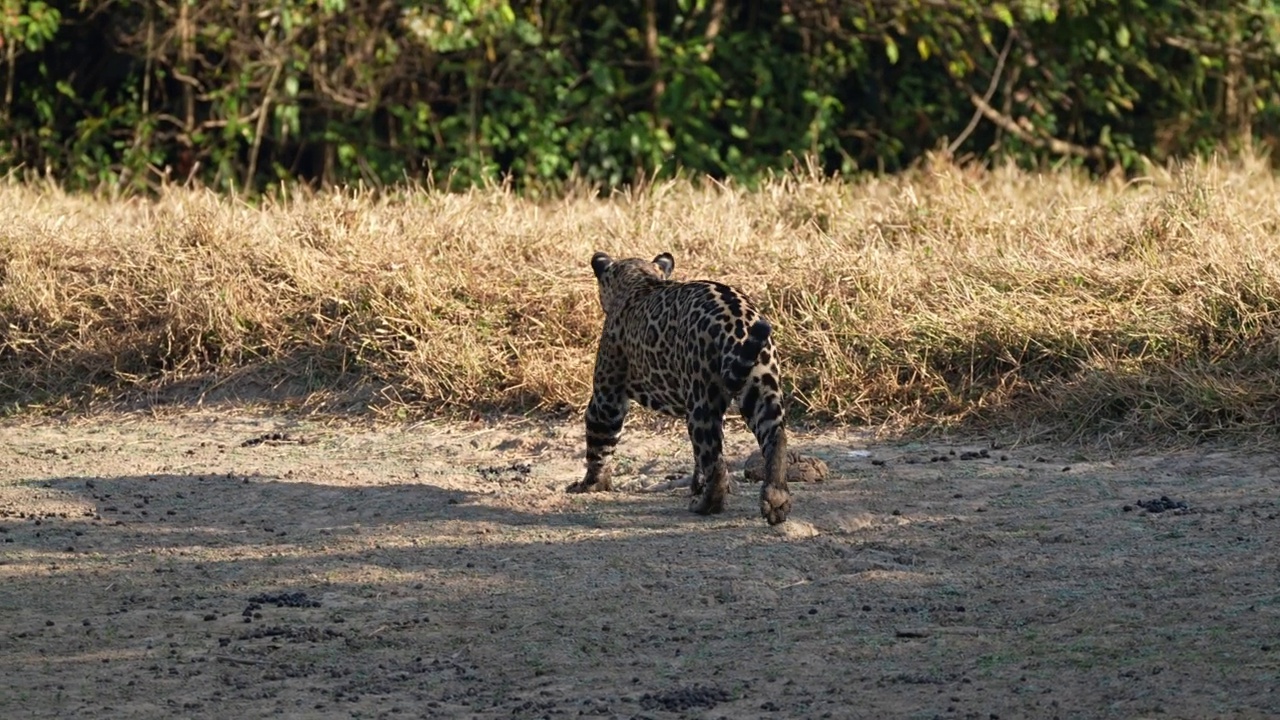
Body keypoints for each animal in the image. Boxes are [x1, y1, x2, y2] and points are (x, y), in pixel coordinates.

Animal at [568, 249, 793, 525]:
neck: (638, 279)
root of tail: (737, 322)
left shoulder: (606, 397)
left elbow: (598, 443)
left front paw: (590, 484)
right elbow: (698, 459)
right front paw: (697, 484)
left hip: (701, 401)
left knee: (717, 464)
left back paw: (705, 505)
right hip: (762, 386)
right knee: (775, 438)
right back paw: (776, 501)